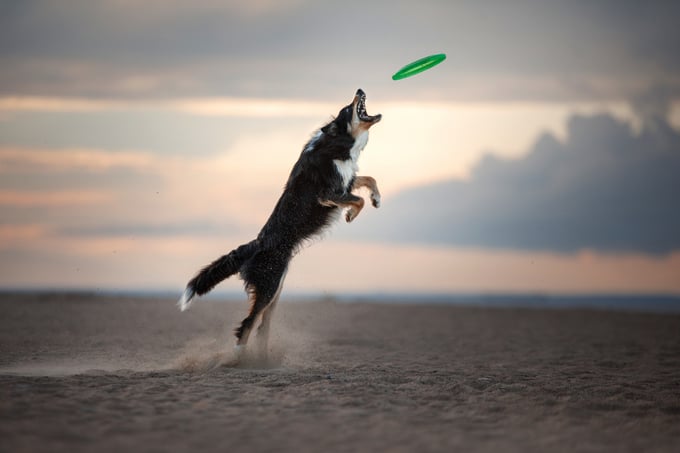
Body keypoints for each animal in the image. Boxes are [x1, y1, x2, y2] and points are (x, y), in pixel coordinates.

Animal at [179, 89, 382, 354]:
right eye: (348, 109)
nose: (359, 90)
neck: (336, 143)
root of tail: (256, 244)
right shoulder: (328, 193)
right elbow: (358, 199)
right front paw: (350, 215)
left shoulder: (345, 182)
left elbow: (369, 179)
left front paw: (377, 199)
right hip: (269, 285)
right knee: (247, 325)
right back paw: (239, 358)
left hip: (275, 291)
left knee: (262, 327)